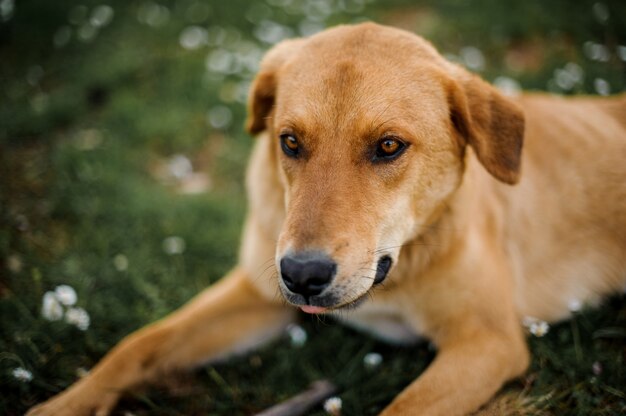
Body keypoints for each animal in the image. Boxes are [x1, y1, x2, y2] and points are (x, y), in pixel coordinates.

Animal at [26, 22, 620, 416]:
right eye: (289, 141)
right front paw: (64, 405)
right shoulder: (257, 294)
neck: (401, 267)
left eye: (388, 146)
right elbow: (139, 345)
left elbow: (403, 409)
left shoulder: (486, 341)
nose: (302, 275)